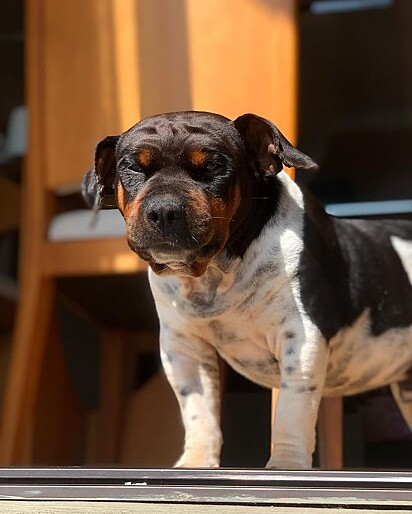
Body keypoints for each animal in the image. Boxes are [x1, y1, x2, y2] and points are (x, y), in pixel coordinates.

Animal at [81, 112, 412, 468]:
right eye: (132, 167)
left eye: (213, 165)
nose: (164, 210)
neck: (215, 273)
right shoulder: (183, 347)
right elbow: (199, 411)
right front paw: (196, 462)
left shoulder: (301, 337)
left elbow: (292, 411)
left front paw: (285, 466)